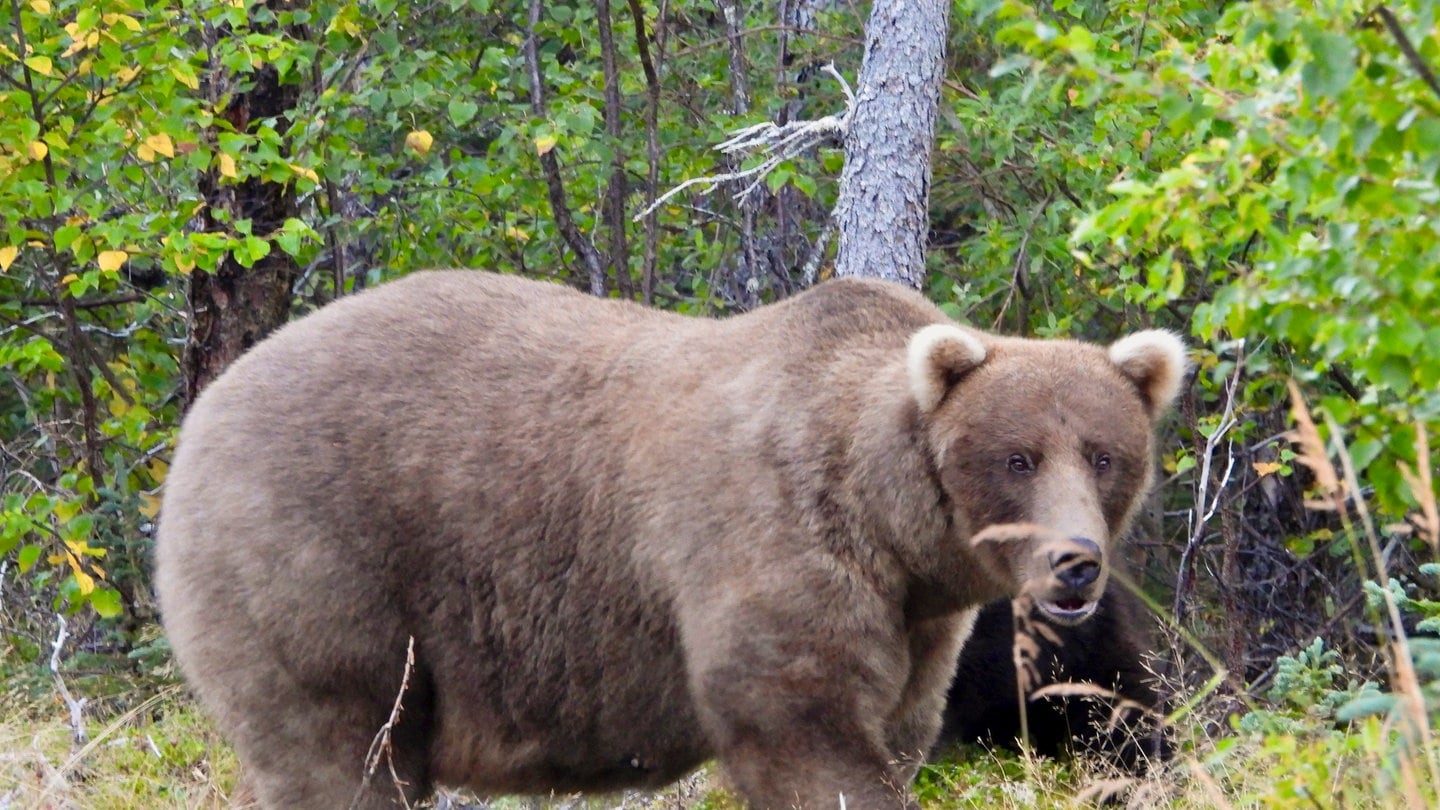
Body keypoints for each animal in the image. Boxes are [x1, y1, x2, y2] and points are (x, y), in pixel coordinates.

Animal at [154, 272, 1180, 807]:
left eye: (1103, 454)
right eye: (1016, 457)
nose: (1075, 563)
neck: (892, 528)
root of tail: (209, 400)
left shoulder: (920, 625)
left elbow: (909, 721)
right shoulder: (771, 538)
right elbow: (801, 723)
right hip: (320, 560)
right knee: (343, 747)